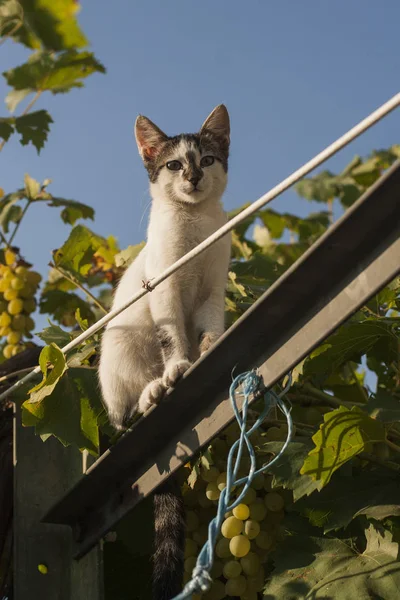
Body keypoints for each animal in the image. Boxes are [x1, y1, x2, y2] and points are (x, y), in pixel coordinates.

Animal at [98, 105, 231, 596]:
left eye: (207, 160)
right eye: (174, 165)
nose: (192, 177)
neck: (194, 229)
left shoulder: (213, 288)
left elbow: (211, 322)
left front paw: (209, 345)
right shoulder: (163, 290)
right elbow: (173, 334)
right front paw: (178, 366)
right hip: (119, 356)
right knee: (125, 416)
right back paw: (152, 392)